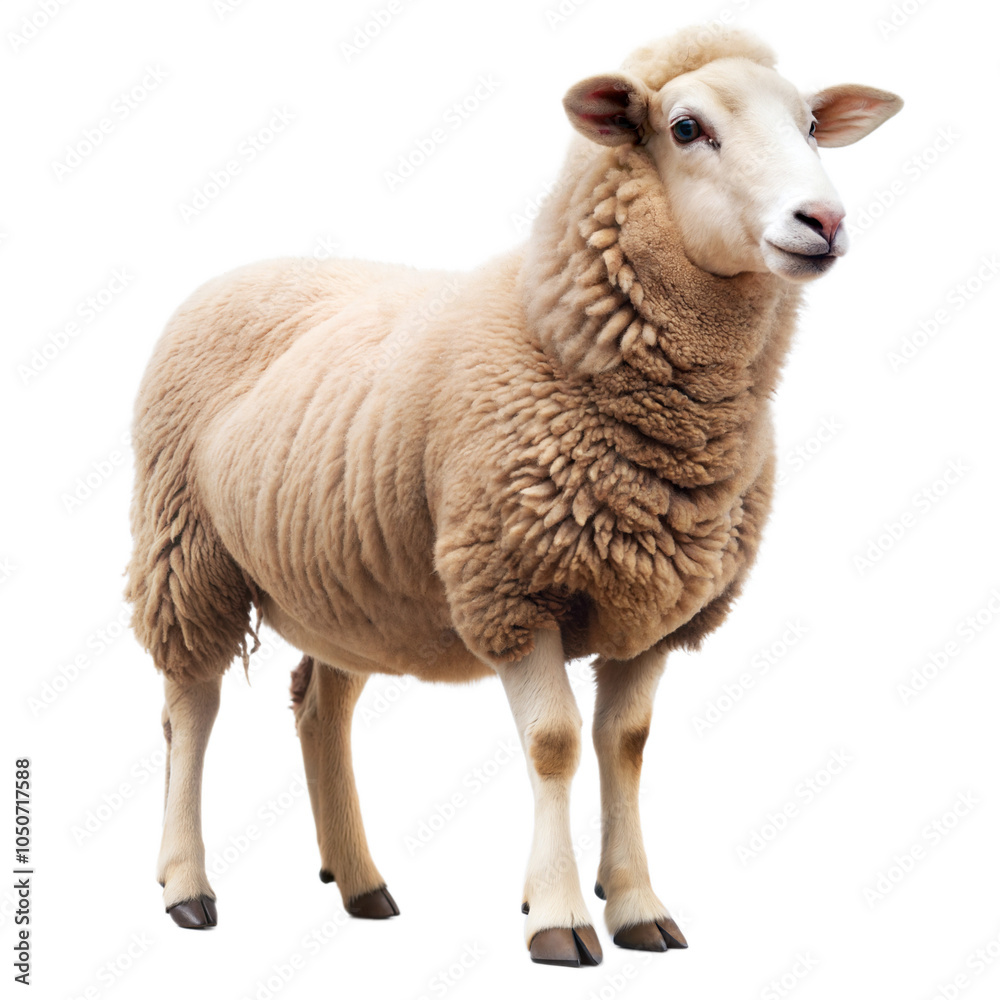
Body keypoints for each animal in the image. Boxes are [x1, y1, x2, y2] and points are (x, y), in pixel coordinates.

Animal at [126, 25, 902, 967]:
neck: (556, 335)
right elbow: (556, 743)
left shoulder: (654, 607)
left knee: (318, 709)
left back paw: (361, 883)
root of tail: (244, 269)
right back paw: (187, 887)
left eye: (812, 126)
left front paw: (638, 906)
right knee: (189, 710)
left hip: (342, 582)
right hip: (183, 548)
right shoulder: (513, 585)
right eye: (686, 128)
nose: (822, 221)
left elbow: (626, 745)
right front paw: (559, 916)